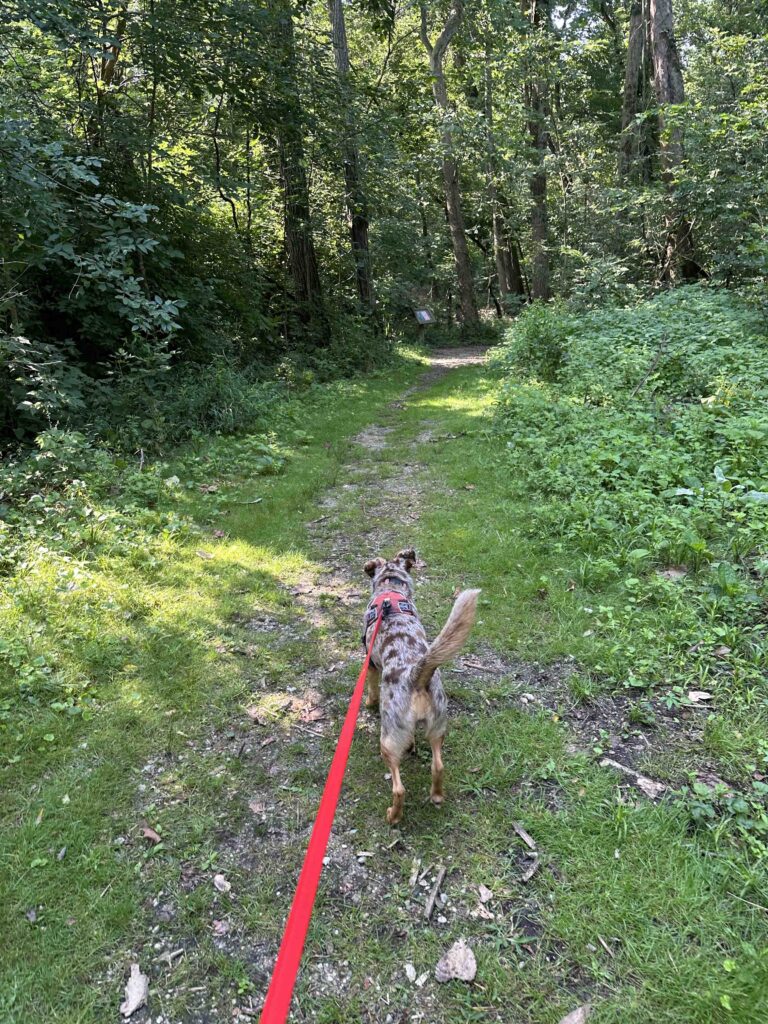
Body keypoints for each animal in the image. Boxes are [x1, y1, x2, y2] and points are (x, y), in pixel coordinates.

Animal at [362, 552, 481, 823]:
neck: (391, 588)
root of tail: (416, 675)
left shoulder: (371, 664)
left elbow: (371, 689)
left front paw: (369, 702)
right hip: (438, 726)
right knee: (438, 766)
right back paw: (436, 795)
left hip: (388, 740)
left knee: (399, 788)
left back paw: (393, 815)